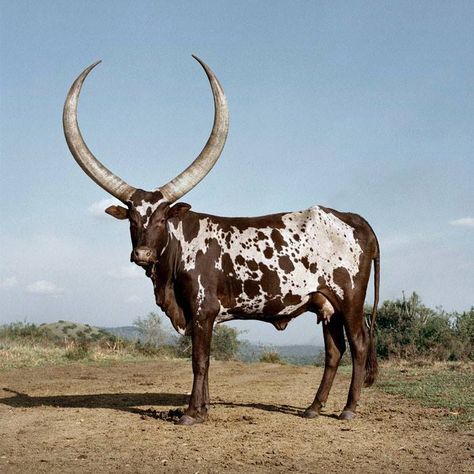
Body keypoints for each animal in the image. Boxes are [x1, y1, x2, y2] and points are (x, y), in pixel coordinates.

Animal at [64, 55, 382, 426]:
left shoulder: (203, 310)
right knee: (335, 350)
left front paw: (191, 413)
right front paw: (201, 408)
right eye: (132, 219)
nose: (142, 253)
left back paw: (349, 409)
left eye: (162, 218)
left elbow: (199, 362)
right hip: (325, 304)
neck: (178, 254)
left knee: (358, 344)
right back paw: (313, 407)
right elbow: (205, 364)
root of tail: (353, 218)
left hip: (350, 301)